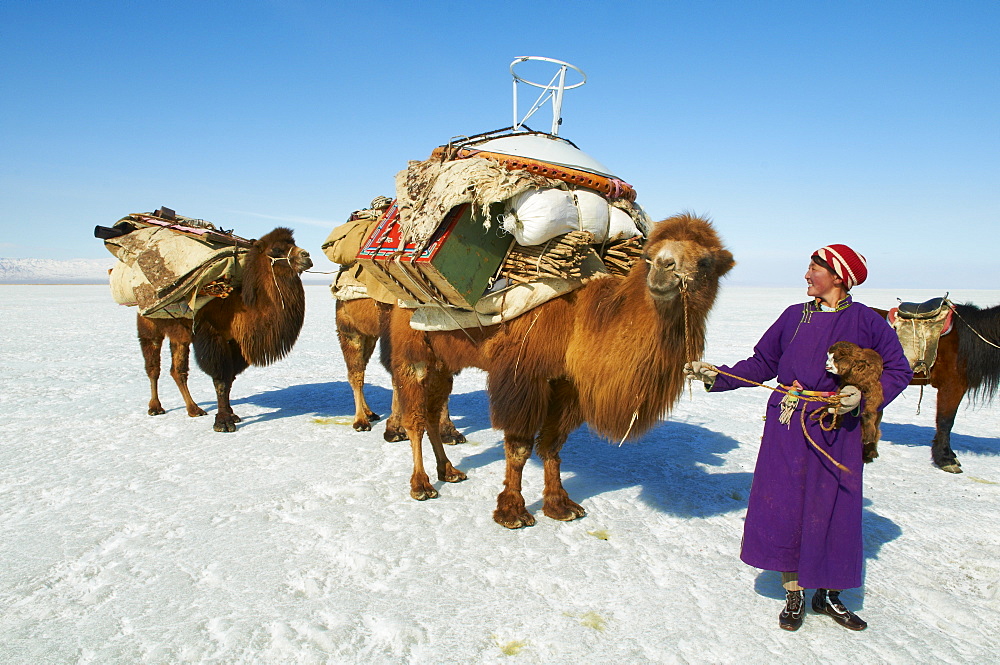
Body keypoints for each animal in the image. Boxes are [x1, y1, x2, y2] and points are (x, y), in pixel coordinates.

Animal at [191, 226, 308, 430]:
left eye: (293, 244)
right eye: (276, 249)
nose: (306, 256)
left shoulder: (235, 342)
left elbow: (229, 379)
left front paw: (231, 414)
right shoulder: (211, 334)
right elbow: (220, 380)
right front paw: (223, 422)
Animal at [332, 296, 464, 440]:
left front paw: (450, 432)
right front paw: (395, 430)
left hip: (370, 336)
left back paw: (370, 413)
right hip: (351, 331)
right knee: (356, 374)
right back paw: (361, 422)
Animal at [390, 213, 736, 528]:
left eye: (705, 262)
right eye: (648, 256)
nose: (663, 269)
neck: (581, 319)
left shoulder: (567, 383)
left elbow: (553, 446)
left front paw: (560, 505)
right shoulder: (522, 376)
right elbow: (519, 447)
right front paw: (512, 511)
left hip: (442, 362)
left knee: (431, 412)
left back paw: (448, 471)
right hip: (413, 351)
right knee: (415, 418)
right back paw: (421, 484)